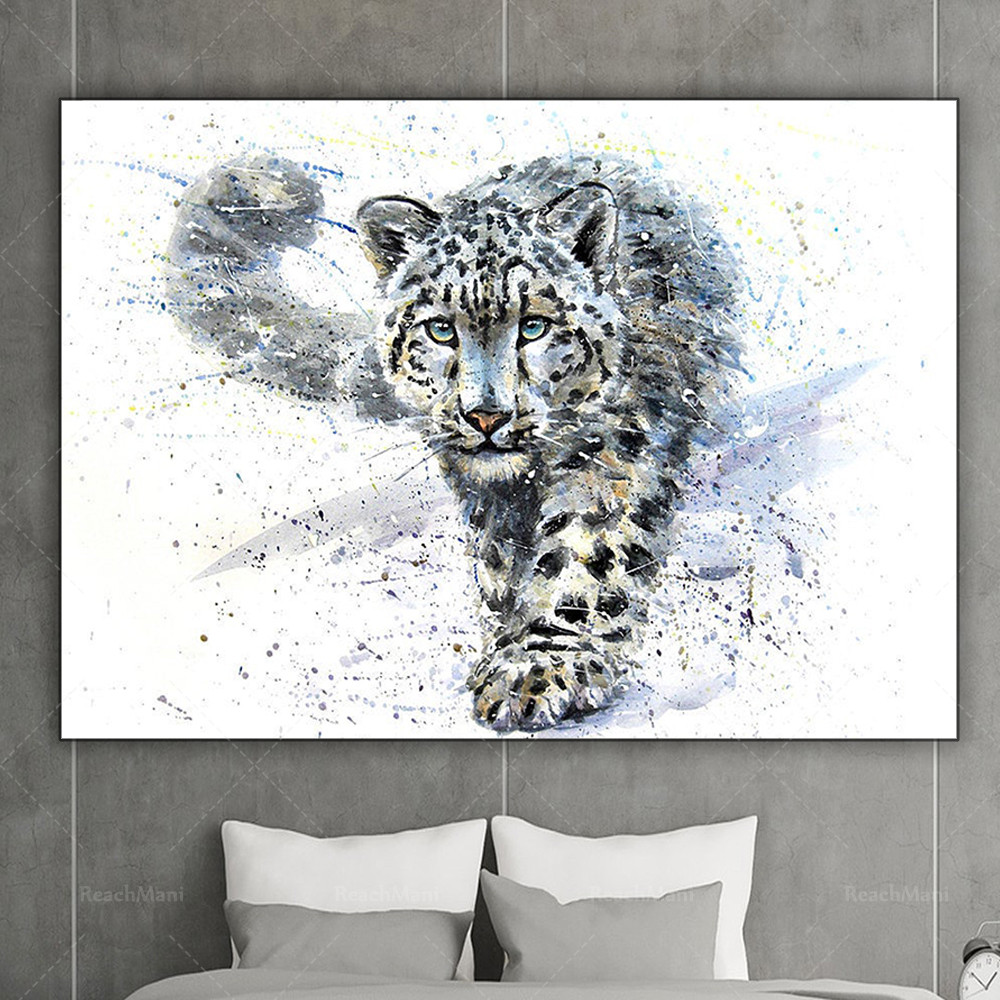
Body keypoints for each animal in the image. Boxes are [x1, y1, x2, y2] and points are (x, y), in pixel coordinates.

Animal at [163, 152, 745, 732]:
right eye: (440, 329)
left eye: (534, 326)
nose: (485, 415)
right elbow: (503, 559)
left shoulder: (610, 455)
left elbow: (584, 554)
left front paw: (538, 663)